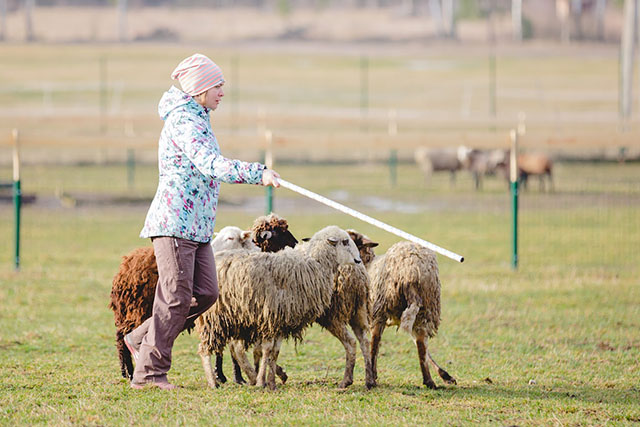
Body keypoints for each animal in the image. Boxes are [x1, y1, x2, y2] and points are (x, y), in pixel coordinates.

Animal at [109, 214, 298, 382]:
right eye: (279, 231)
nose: (296, 243)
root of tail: (124, 269)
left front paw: (222, 375)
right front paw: (238, 376)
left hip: (129, 310)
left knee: (121, 334)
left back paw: (127, 371)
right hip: (138, 308)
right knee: (123, 336)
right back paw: (129, 372)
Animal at [195, 227, 362, 392]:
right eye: (345, 242)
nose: (358, 260)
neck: (315, 264)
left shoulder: (282, 319)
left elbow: (274, 352)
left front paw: (271, 382)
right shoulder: (269, 317)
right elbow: (267, 350)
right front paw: (262, 381)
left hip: (231, 317)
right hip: (214, 318)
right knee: (205, 349)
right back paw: (213, 382)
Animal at [344, 231, 456, 392]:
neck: (368, 264)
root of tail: (411, 271)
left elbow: (374, 344)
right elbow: (420, 346)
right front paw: (445, 375)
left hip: (382, 306)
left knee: (375, 342)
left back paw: (372, 377)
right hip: (424, 310)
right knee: (421, 344)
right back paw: (429, 381)